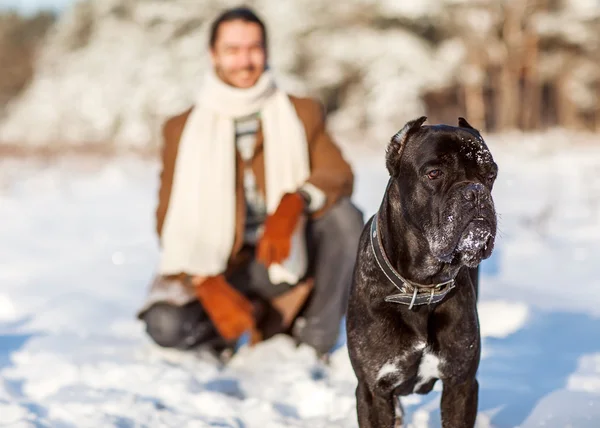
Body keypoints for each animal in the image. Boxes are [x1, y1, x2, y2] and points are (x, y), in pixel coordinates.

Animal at [344, 117, 500, 428]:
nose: (475, 192)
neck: (421, 285)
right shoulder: (372, 392)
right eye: (434, 173)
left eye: (490, 175)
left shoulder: (461, 384)